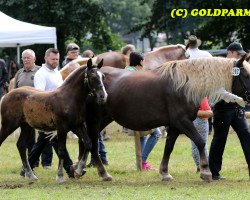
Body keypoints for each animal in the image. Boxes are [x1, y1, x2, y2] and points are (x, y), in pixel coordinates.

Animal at [77, 55, 250, 183]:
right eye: (246, 75)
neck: (184, 85)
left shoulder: (174, 126)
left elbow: (169, 147)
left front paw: (165, 173)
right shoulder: (183, 122)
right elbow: (200, 142)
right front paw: (206, 172)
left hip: (103, 119)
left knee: (87, 142)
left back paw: (78, 169)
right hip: (94, 120)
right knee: (92, 143)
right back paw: (102, 173)